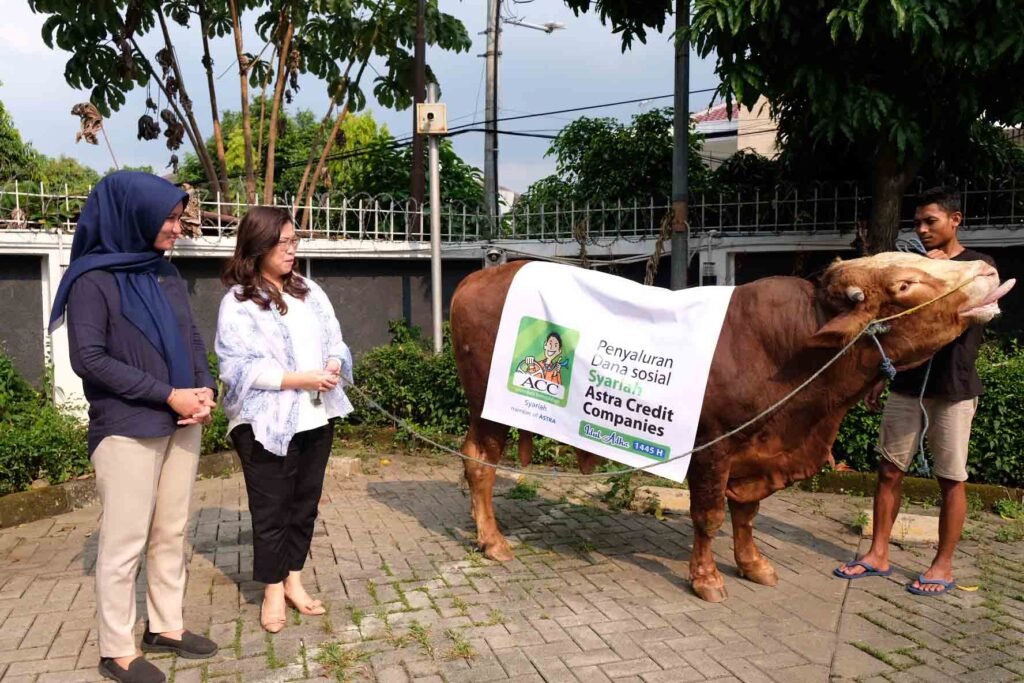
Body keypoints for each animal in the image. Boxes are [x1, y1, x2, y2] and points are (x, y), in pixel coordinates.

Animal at [452, 253, 1011, 602]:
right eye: (904, 284)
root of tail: (476, 279)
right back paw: (492, 540)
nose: (986, 267)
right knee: (479, 463)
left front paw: (752, 563)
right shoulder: (711, 449)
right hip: (488, 410)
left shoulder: (757, 454)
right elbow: (710, 517)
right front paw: (706, 579)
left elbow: (747, 515)